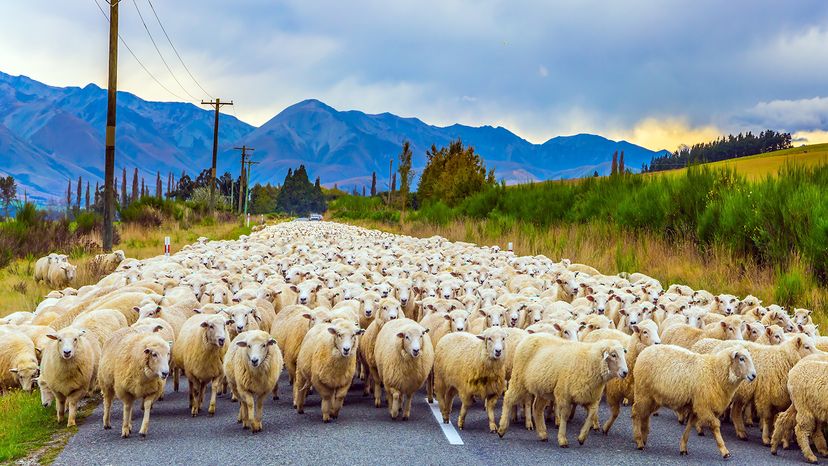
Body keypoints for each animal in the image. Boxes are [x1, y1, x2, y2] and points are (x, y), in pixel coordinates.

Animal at [497, 335, 628, 446]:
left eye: (623, 353)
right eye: (613, 355)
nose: (625, 372)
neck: (589, 362)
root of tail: (528, 337)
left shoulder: (589, 397)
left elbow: (591, 415)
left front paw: (581, 438)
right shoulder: (564, 395)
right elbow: (564, 416)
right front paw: (562, 439)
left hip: (543, 389)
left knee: (537, 408)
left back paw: (543, 434)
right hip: (518, 379)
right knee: (508, 398)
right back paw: (502, 429)